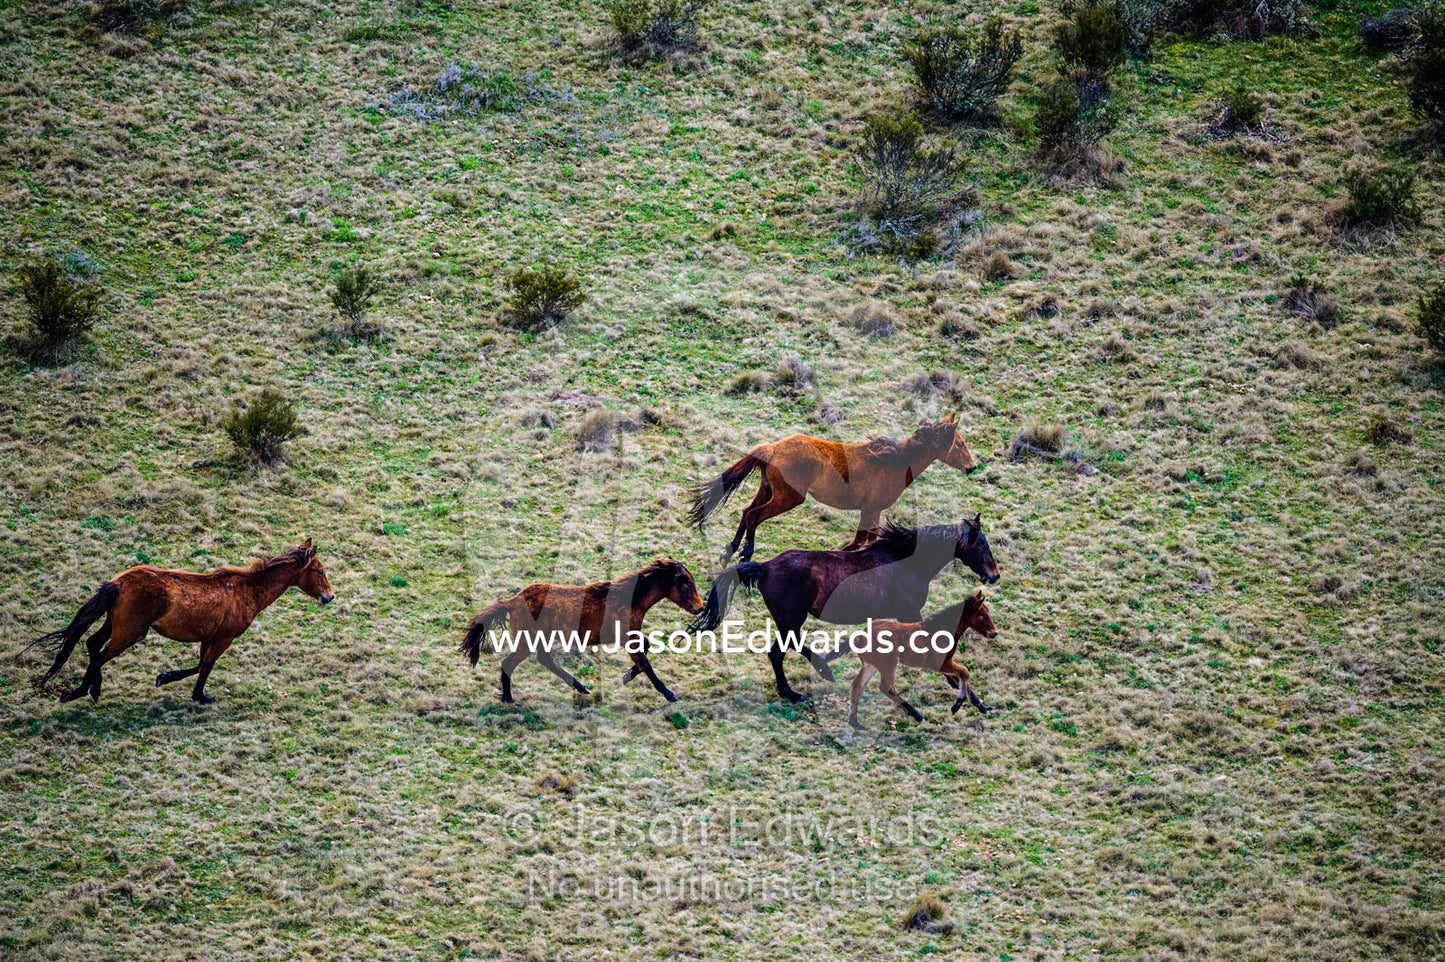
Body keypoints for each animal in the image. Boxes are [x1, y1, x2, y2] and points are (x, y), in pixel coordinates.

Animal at [26, 539, 335, 705]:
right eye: (319, 571)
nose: (329, 597)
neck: (247, 589)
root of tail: (118, 583)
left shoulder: (210, 637)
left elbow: (200, 664)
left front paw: (170, 680)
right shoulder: (223, 638)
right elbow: (206, 665)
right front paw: (196, 694)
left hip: (113, 625)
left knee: (92, 644)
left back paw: (90, 688)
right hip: (129, 634)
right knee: (99, 656)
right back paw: (83, 691)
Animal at [460, 558, 705, 704]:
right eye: (687, 584)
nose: (700, 607)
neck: (629, 599)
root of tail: (513, 601)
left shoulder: (630, 637)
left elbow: (646, 648)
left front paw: (626, 676)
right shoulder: (627, 639)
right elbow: (646, 663)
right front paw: (670, 694)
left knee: (544, 660)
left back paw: (580, 687)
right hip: (527, 640)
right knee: (509, 663)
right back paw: (510, 700)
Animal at [687, 414, 979, 565]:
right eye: (960, 444)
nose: (972, 466)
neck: (895, 463)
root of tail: (772, 448)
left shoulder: (869, 512)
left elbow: (863, 541)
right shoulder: (873, 510)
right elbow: (861, 542)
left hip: (768, 491)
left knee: (747, 512)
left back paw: (729, 552)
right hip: (787, 498)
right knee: (754, 516)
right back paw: (744, 555)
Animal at [688, 517, 999, 703]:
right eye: (983, 545)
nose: (994, 575)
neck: (906, 562)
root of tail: (765, 567)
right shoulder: (909, 613)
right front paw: (968, 694)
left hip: (788, 619)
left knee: (782, 651)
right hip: (791, 618)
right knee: (781, 652)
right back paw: (804, 684)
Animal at [846, 590, 997, 730]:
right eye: (984, 615)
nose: (994, 633)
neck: (941, 630)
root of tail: (860, 636)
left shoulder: (947, 663)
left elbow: (961, 677)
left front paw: (981, 707)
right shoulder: (940, 664)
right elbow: (964, 672)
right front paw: (957, 704)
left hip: (871, 665)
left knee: (857, 686)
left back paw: (855, 722)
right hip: (888, 664)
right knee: (886, 688)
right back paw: (916, 715)